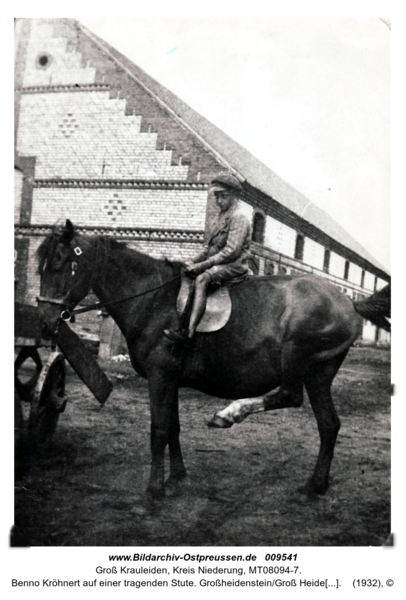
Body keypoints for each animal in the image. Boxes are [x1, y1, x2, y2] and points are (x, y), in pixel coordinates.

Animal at [37, 223, 390, 500]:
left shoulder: (159, 377)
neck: (153, 300)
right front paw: (177, 478)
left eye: (61, 264)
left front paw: (154, 489)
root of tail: (349, 303)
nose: (45, 322)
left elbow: (159, 430)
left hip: (298, 357)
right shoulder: (171, 380)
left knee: (289, 395)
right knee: (329, 424)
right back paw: (315, 485)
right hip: (320, 374)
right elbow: (174, 427)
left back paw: (229, 414)